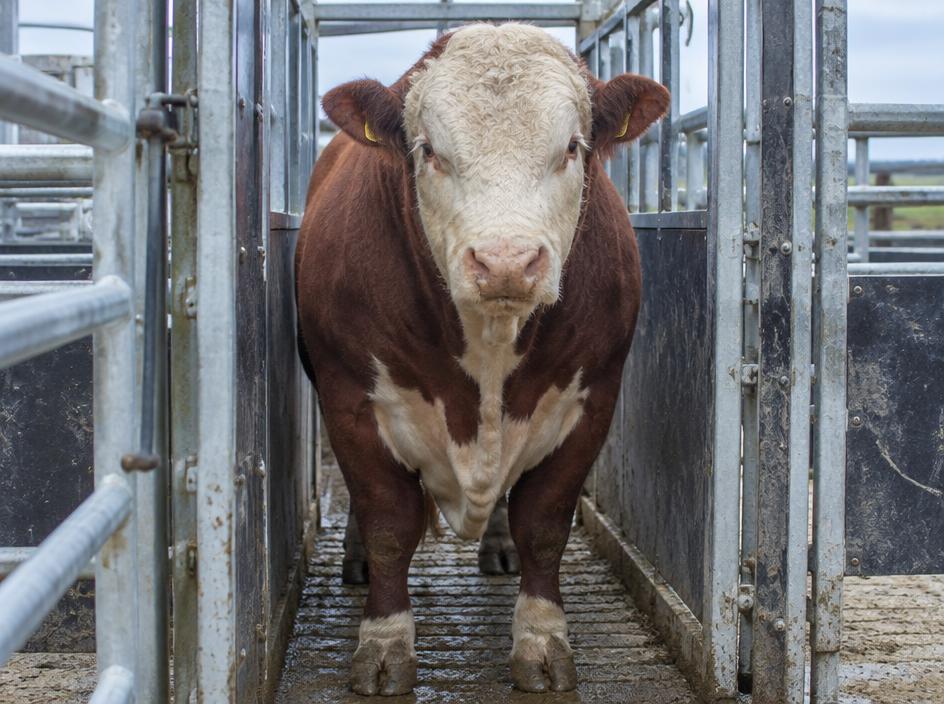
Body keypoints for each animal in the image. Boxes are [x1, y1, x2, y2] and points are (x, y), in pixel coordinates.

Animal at [295, 23, 668, 695]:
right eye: (428, 150)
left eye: (571, 148)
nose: (504, 262)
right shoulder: (349, 398)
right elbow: (388, 522)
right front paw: (384, 645)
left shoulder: (592, 398)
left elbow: (545, 525)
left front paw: (542, 642)